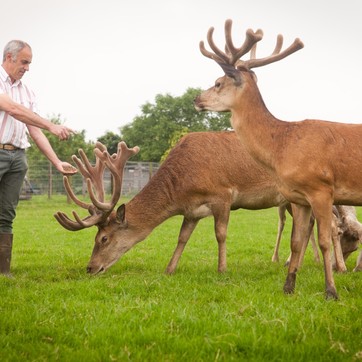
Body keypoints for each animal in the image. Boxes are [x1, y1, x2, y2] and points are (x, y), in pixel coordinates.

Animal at [195, 18, 362, 298]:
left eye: (218, 82)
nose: (196, 98)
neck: (282, 146)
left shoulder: (321, 189)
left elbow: (324, 240)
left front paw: (331, 291)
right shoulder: (299, 197)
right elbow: (295, 242)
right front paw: (288, 286)